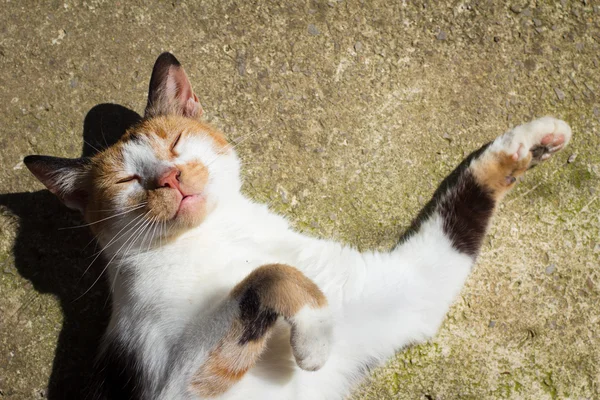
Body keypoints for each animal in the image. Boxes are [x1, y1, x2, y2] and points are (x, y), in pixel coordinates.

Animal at [24, 53, 572, 400]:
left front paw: (528, 142)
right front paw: (314, 340)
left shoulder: (410, 290)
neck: (221, 235)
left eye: (176, 141)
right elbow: (270, 274)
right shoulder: (173, 387)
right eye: (128, 179)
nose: (170, 178)